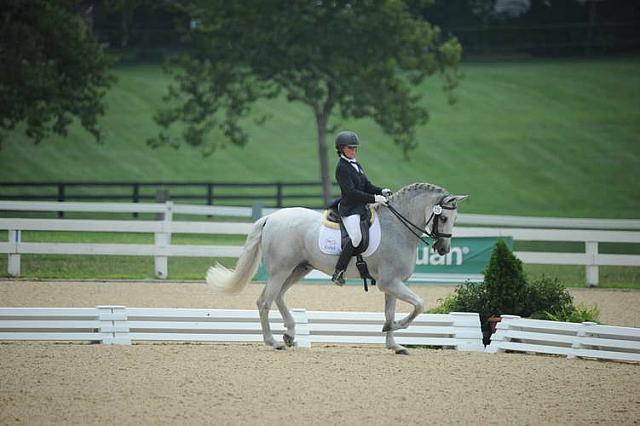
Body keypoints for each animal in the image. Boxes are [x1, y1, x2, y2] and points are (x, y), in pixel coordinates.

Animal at [208, 181, 468, 354]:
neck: (397, 228)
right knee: (264, 302)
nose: (443, 249)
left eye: (455, 219)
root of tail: (270, 217)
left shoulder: (392, 284)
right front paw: (395, 327)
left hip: (298, 269)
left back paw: (290, 334)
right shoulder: (390, 282)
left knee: (279, 296)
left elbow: (391, 312)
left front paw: (394, 344)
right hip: (280, 270)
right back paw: (274, 342)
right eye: (444, 218)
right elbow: (419, 305)